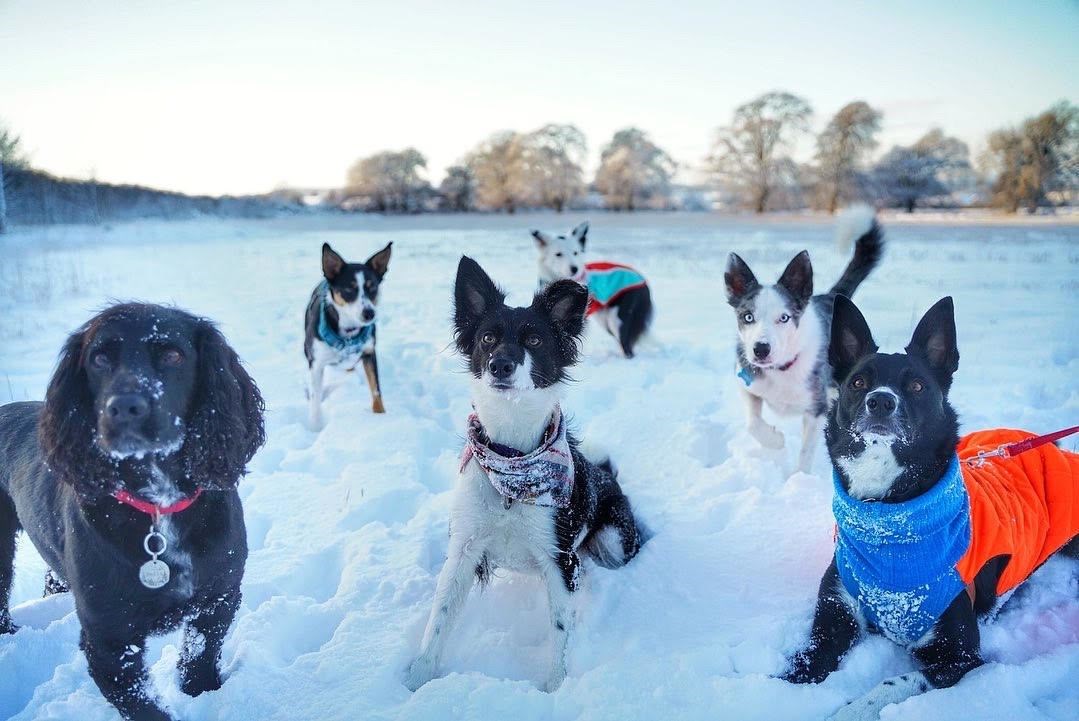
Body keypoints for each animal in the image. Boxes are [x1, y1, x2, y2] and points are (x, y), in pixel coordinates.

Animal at [0, 304, 265, 721]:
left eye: (173, 355)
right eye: (99, 358)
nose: (124, 407)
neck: (159, 504)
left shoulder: (218, 598)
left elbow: (200, 661)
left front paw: (204, 696)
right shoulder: (108, 640)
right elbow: (144, 706)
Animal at [304, 241, 392, 425]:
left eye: (372, 288)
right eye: (349, 289)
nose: (369, 313)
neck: (349, 332)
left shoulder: (369, 353)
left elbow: (376, 390)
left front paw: (380, 416)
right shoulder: (316, 363)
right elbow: (315, 400)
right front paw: (315, 426)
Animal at [405, 255, 638, 690]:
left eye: (534, 341)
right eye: (487, 339)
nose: (501, 365)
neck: (512, 462)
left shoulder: (560, 559)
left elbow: (561, 629)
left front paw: (556, 689)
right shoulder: (463, 549)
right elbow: (439, 618)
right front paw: (416, 679)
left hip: (615, 540)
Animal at [725, 207, 884, 472]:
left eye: (784, 318)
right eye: (747, 316)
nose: (760, 349)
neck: (781, 368)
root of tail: (831, 296)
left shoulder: (816, 408)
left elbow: (806, 451)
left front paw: (798, 477)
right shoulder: (747, 384)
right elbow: (752, 423)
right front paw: (775, 440)